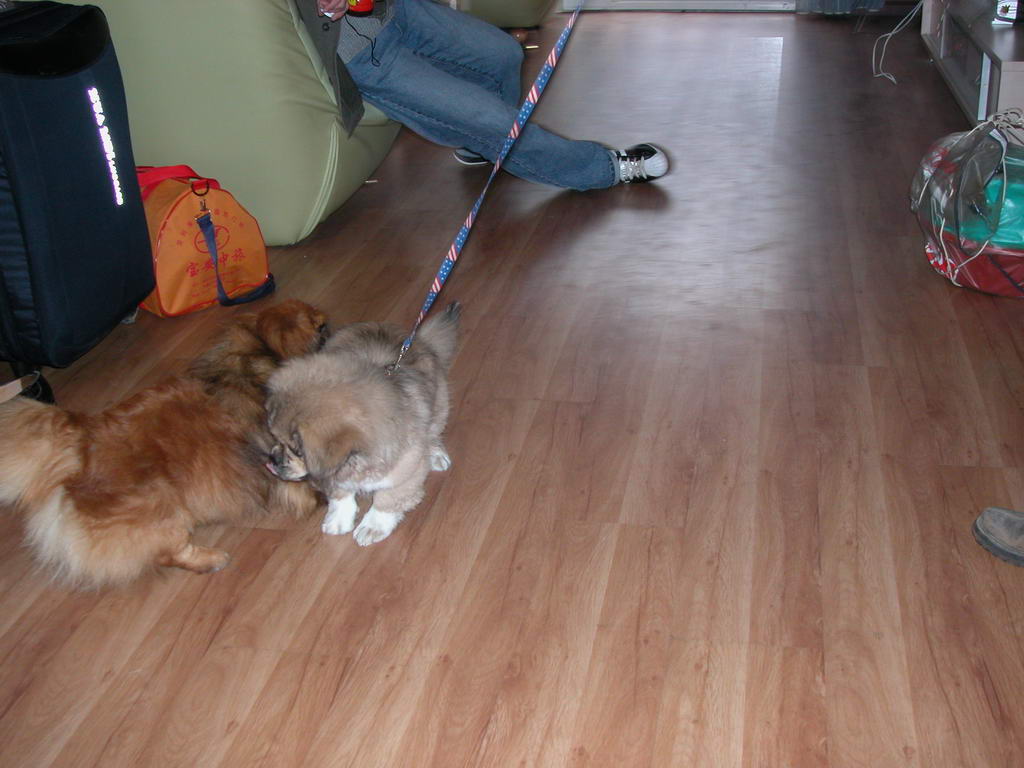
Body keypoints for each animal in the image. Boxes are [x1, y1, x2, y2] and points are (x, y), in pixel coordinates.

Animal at [0, 299, 327, 587]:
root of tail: (78, 447)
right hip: (165, 511)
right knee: (169, 553)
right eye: (320, 327)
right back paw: (211, 559)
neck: (253, 360)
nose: (332, 329)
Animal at [266, 303, 460, 546]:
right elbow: (341, 496)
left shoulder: (405, 474)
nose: (271, 461)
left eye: (297, 451)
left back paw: (435, 455)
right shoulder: (336, 477)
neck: (356, 461)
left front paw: (372, 527)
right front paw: (338, 520)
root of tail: (420, 340)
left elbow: (387, 499)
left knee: (432, 434)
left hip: (439, 407)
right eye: (274, 438)